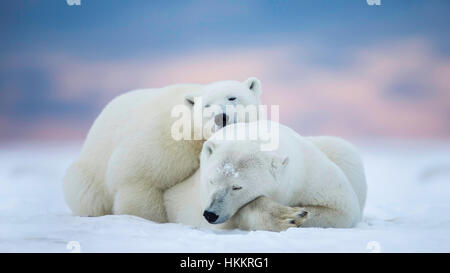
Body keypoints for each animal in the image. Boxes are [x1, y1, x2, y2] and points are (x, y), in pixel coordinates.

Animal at [61, 77, 262, 221]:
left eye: (232, 97)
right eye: (206, 105)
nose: (221, 117)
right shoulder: (165, 140)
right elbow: (139, 177)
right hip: (89, 174)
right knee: (87, 194)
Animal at [163, 120, 368, 228]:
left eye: (237, 187)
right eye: (211, 181)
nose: (211, 214)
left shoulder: (311, 175)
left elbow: (340, 209)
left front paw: (296, 214)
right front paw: (287, 216)